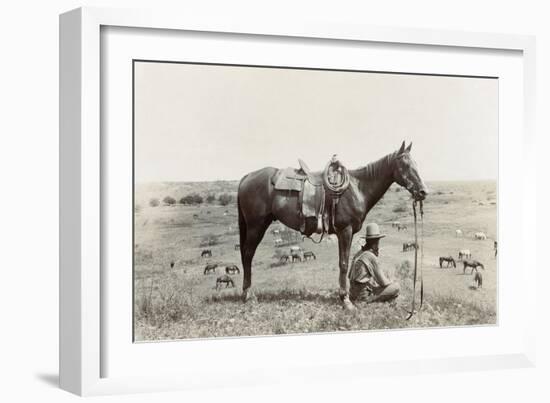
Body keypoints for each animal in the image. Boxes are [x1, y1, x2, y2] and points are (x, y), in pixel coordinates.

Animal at [236, 142, 426, 310]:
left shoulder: (347, 233)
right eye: (405, 165)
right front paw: (346, 300)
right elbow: (344, 263)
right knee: (248, 254)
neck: (357, 188)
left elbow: (345, 262)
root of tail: (247, 177)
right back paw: (248, 294)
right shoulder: (345, 231)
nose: (423, 192)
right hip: (256, 226)